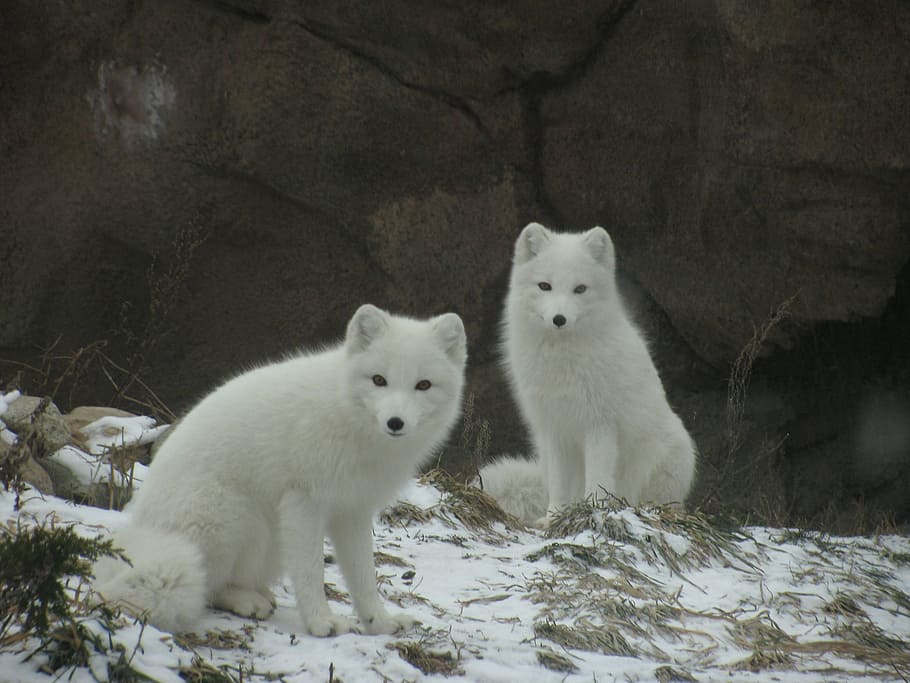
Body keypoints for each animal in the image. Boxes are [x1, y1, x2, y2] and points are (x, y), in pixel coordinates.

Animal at [94, 304, 467, 636]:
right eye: (379, 380)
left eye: (423, 385)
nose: (395, 422)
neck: (350, 420)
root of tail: (141, 531)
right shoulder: (304, 501)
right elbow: (311, 572)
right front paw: (321, 622)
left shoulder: (354, 511)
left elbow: (364, 577)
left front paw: (380, 623)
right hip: (237, 517)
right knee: (209, 586)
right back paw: (246, 601)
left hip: (272, 539)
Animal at [482, 223, 696, 526]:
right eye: (544, 286)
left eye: (580, 289)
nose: (559, 319)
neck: (563, 363)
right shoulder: (555, 428)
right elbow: (559, 485)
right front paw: (554, 517)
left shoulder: (600, 425)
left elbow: (597, 480)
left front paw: (592, 512)